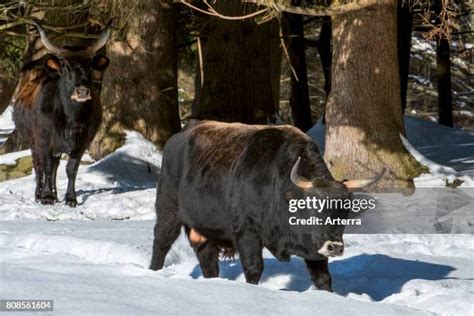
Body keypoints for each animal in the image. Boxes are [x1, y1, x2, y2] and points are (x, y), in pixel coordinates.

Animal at [150, 121, 384, 292]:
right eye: (312, 208)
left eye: (345, 212)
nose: (334, 246)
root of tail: (180, 135)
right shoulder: (247, 232)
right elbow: (254, 269)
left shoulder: (314, 248)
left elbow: (323, 278)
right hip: (168, 210)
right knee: (161, 243)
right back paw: (153, 271)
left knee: (207, 258)